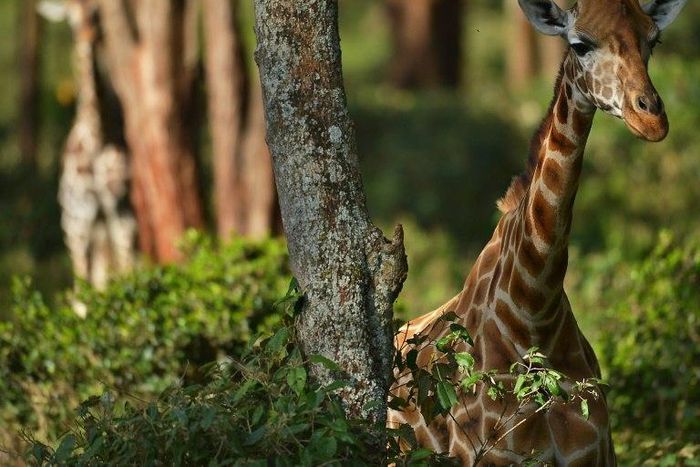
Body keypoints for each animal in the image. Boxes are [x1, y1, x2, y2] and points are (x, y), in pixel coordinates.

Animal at [56, 0, 135, 300]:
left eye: (99, 16)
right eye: (71, 21)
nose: (88, 37)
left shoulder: (122, 209)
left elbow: (128, 273)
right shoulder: (82, 217)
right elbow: (83, 291)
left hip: (100, 227)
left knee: (102, 276)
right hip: (74, 224)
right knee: (81, 287)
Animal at [388, 0, 687, 465]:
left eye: (653, 40)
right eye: (580, 44)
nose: (651, 119)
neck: (534, 310)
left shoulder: (599, 455)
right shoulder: (483, 456)